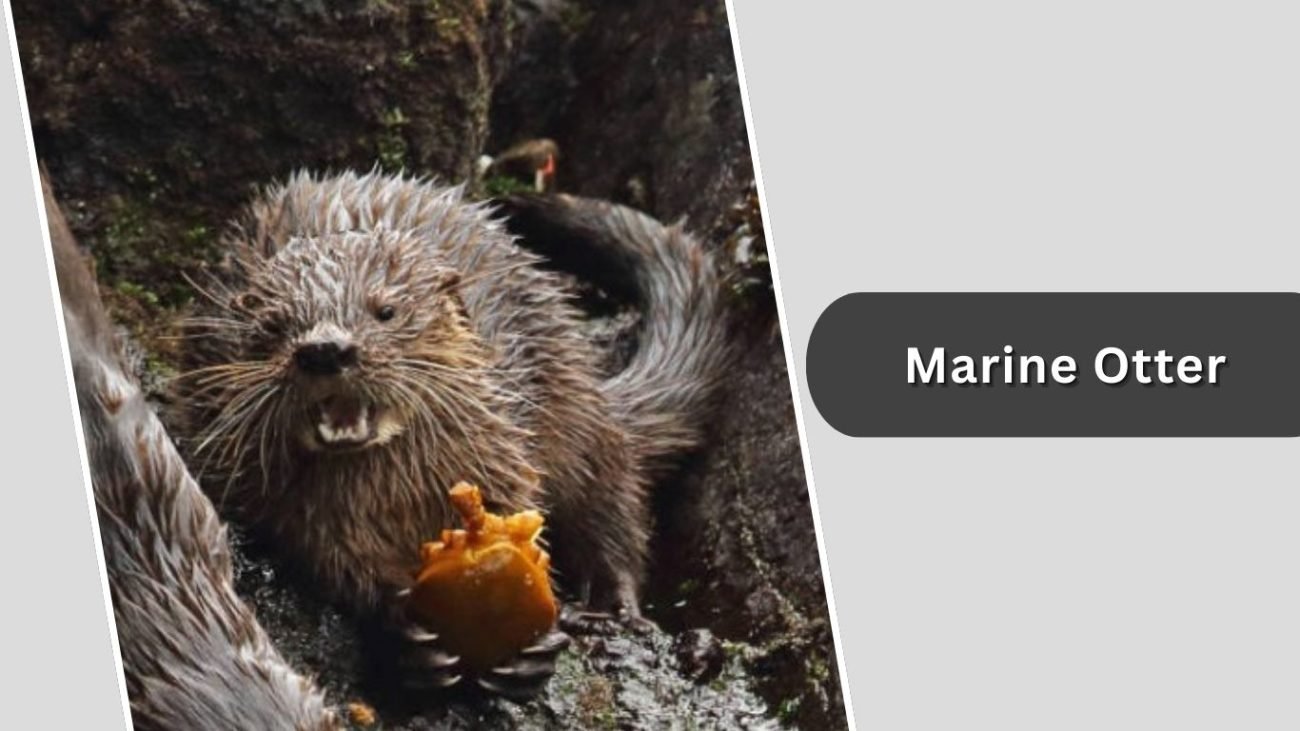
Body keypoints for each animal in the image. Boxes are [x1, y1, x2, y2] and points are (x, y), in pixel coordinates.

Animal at [177, 170, 730, 696]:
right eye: (275, 324)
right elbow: (337, 564)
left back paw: (609, 608)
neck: (387, 495)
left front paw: (532, 648)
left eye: (386, 311)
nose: (325, 348)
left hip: (574, 399)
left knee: (612, 502)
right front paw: (405, 639)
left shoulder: (502, 446)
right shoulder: (289, 505)